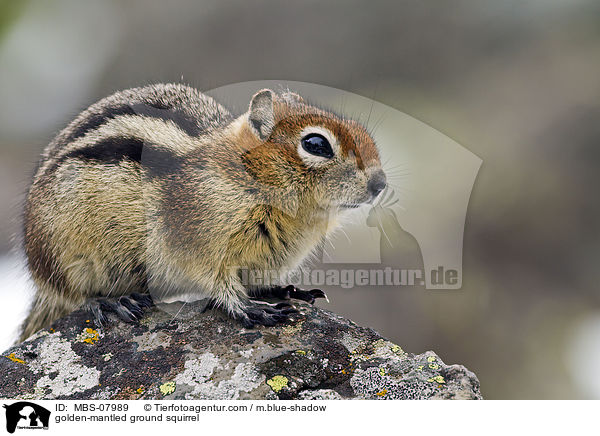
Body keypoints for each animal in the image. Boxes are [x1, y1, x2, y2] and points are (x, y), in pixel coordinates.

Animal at [18, 84, 386, 340]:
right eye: (315, 144)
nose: (380, 183)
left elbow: (256, 281)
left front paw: (284, 290)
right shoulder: (196, 243)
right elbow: (217, 281)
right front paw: (248, 308)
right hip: (66, 251)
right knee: (72, 293)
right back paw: (110, 301)